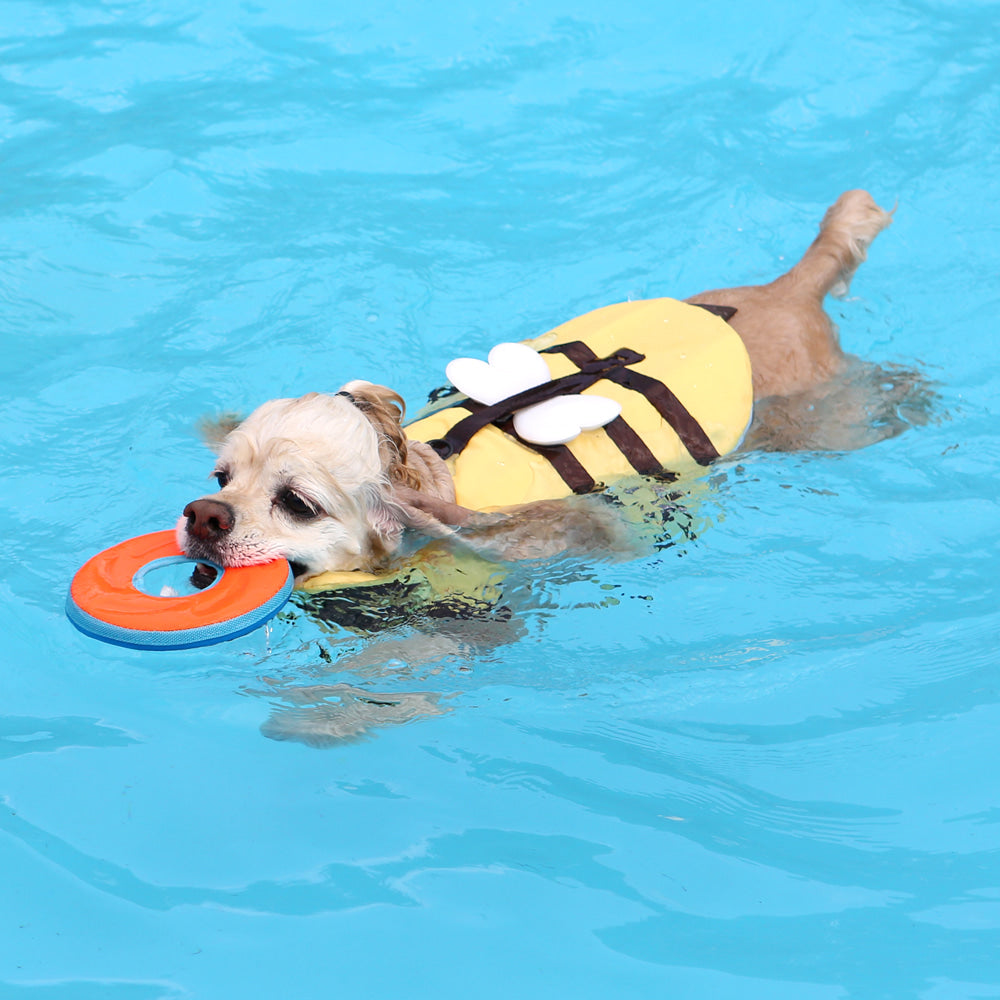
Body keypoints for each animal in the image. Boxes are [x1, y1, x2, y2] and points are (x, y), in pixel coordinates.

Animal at [178, 189, 916, 584]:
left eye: (298, 504)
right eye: (221, 479)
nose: (202, 515)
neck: (428, 474)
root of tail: (786, 289)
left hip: (819, 421)